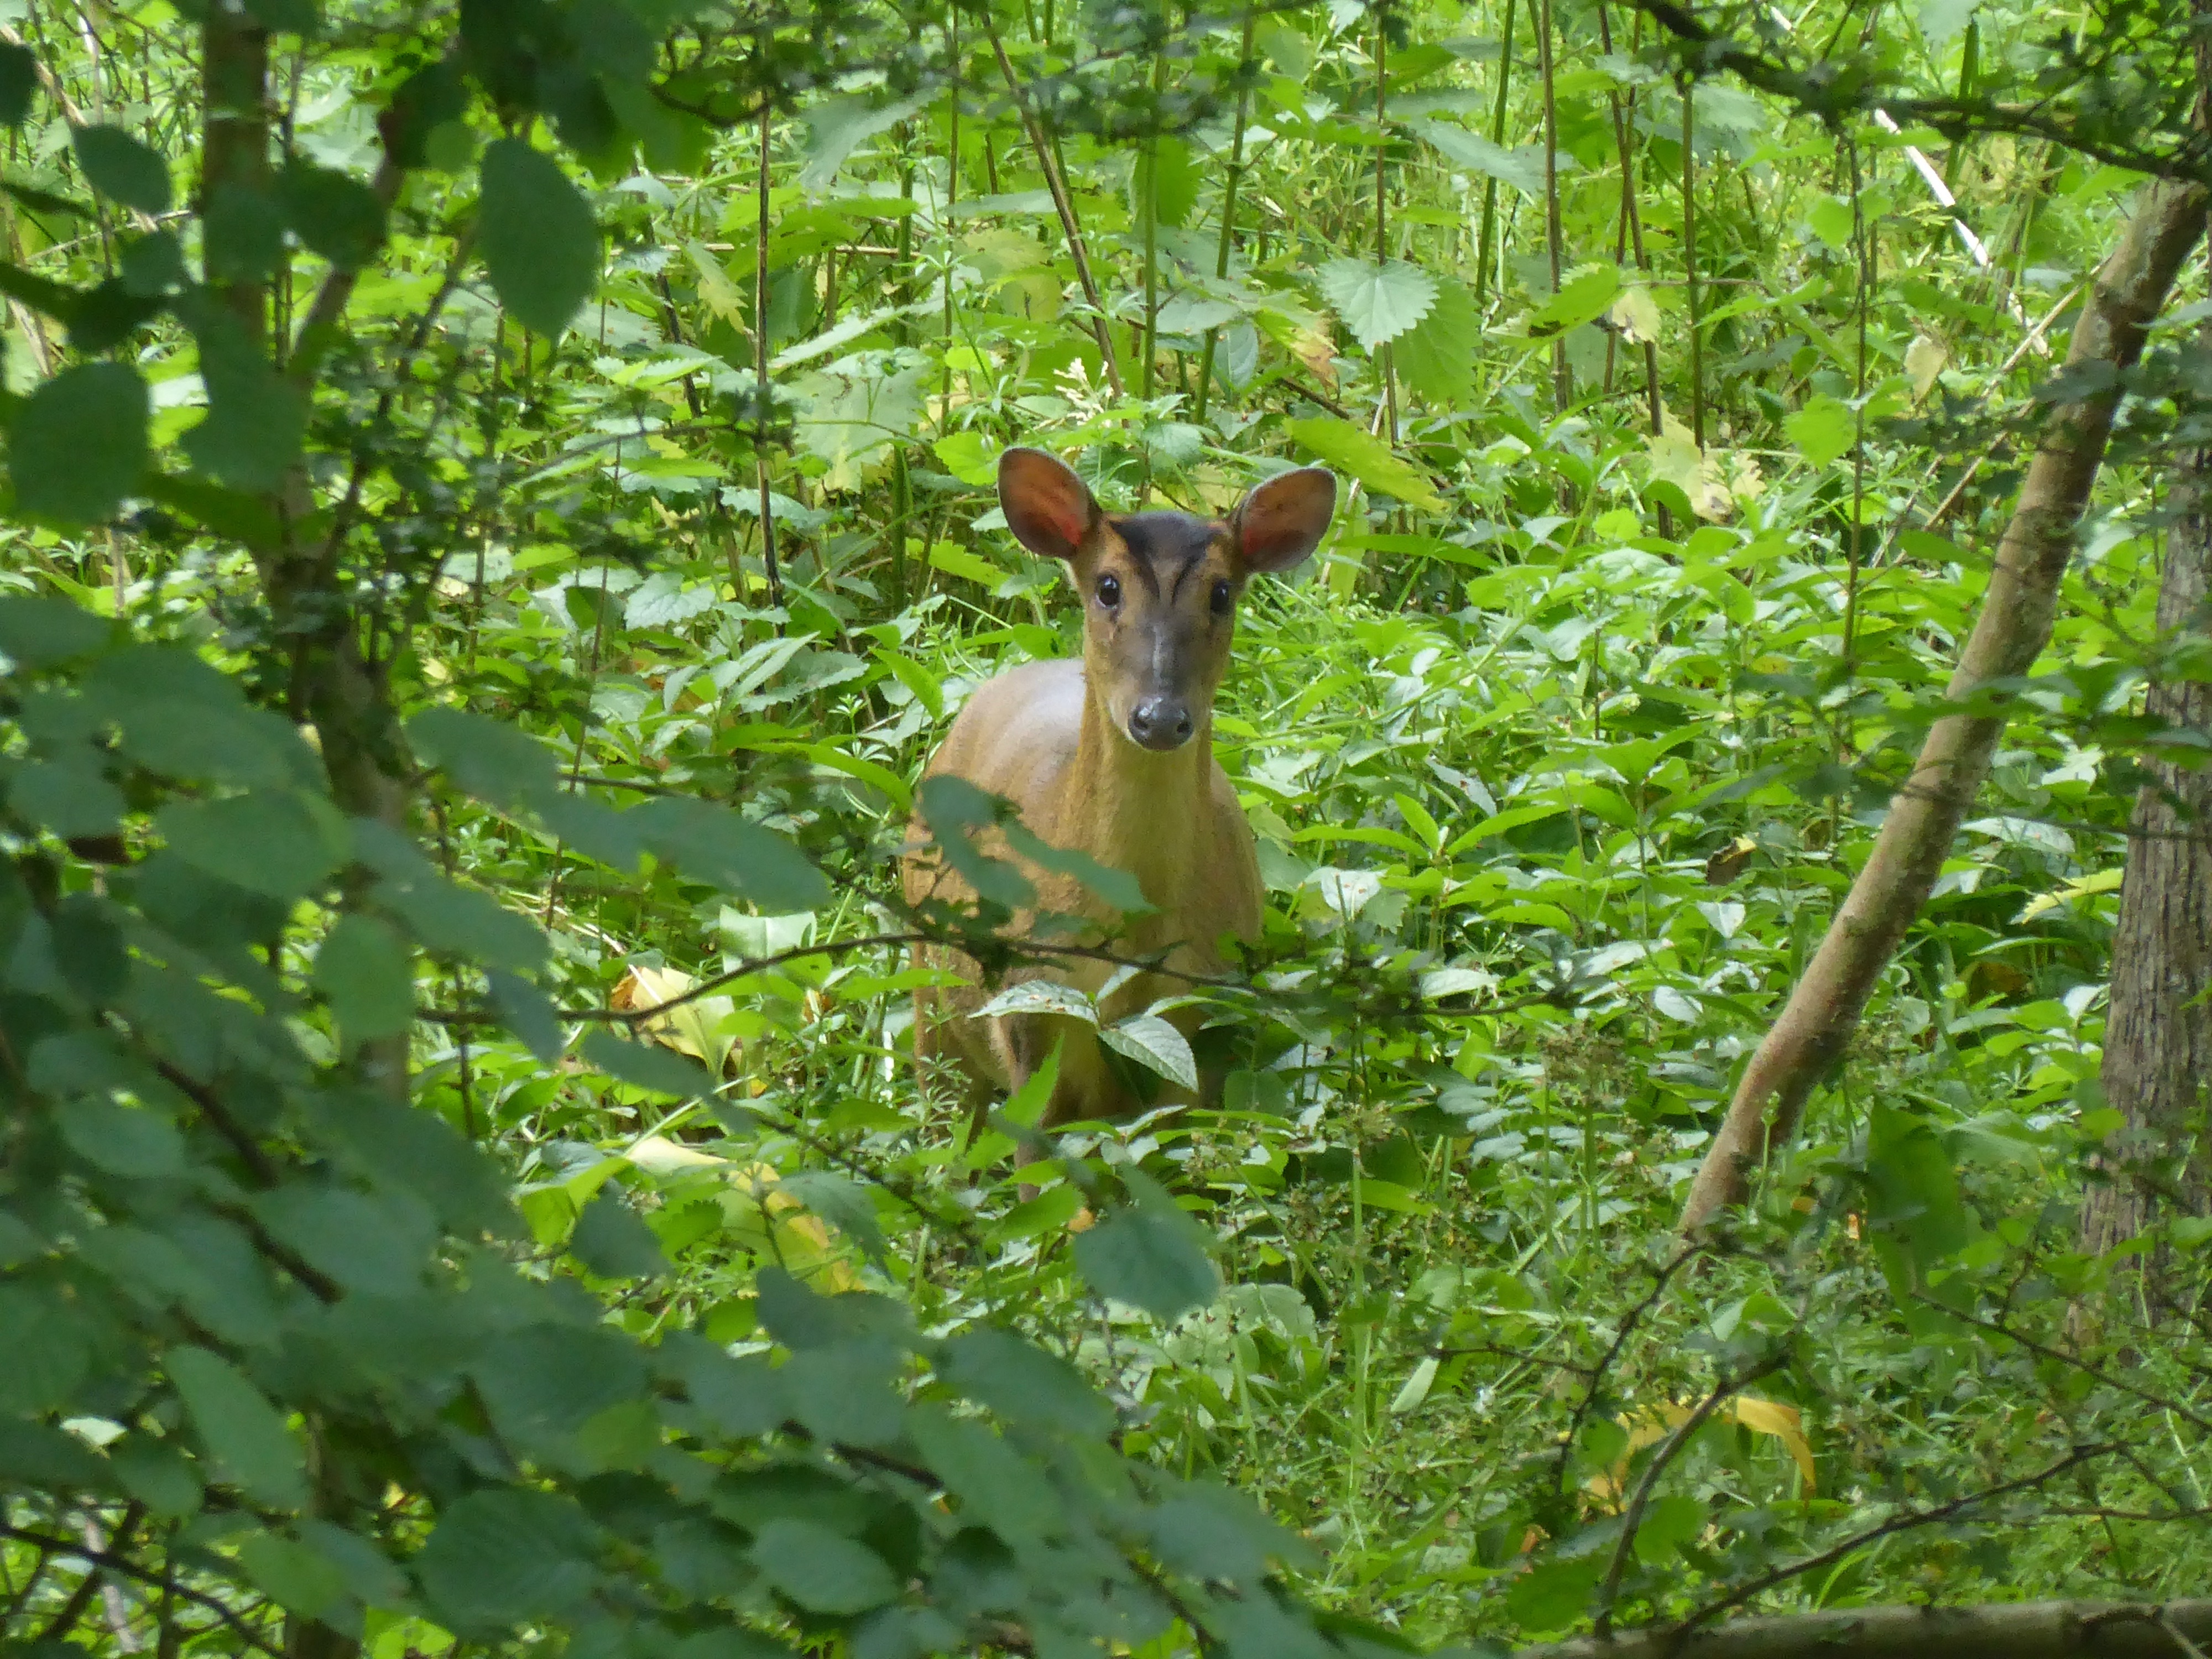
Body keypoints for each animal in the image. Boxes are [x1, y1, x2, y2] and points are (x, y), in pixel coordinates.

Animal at [894, 442, 1327, 1141]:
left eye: (1222, 593)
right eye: (1107, 587)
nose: (1159, 717)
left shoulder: (1210, 1017)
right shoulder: (1030, 1011)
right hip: (928, 989)